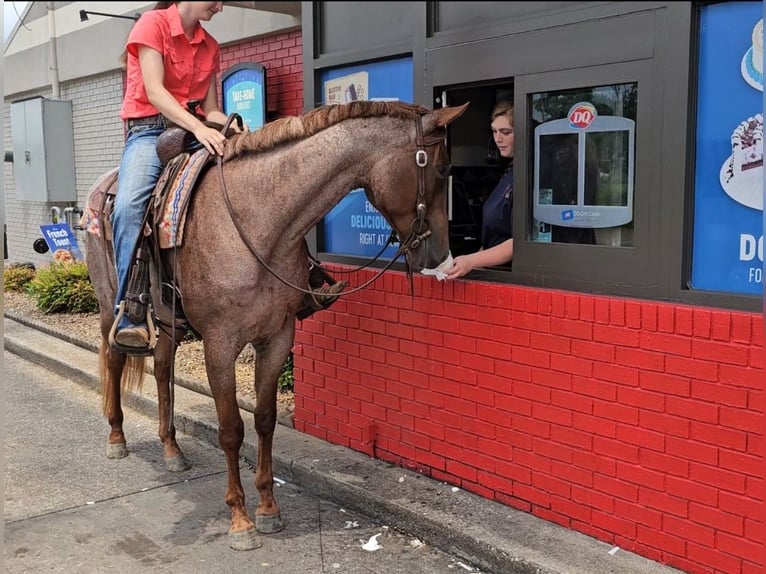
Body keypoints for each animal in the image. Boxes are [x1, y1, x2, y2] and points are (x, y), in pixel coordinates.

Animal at [82, 101, 468, 552]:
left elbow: (264, 420)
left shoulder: (278, 337)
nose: (441, 254)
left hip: (169, 317)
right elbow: (231, 429)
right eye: (442, 168)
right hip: (110, 303)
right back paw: (117, 437)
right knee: (113, 358)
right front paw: (240, 520)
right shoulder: (219, 344)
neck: (257, 224)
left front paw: (268, 508)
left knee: (162, 369)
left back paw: (172, 450)